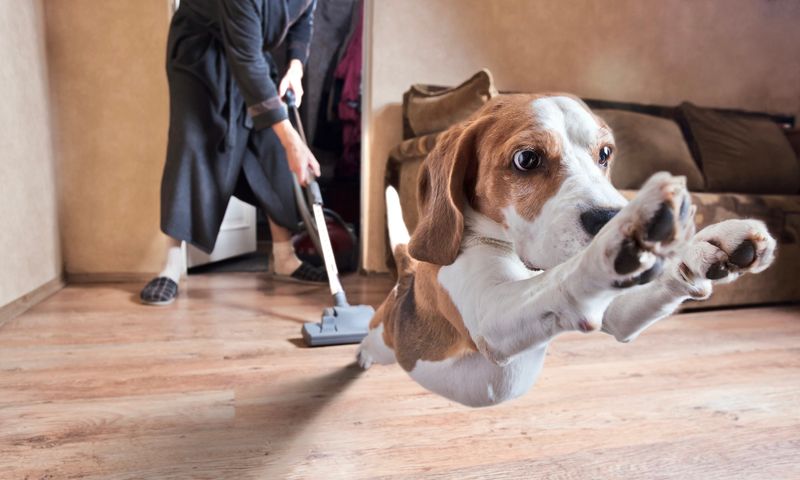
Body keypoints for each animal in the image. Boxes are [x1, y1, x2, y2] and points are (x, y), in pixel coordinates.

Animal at [360, 94, 780, 408]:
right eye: (526, 159)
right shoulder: (490, 314)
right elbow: (565, 276)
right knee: (370, 340)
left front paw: (706, 246)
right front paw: (622, 237)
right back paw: (361, 355)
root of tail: (406, 278)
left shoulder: (615, 313)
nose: (611, 215)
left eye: (605, 153)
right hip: (385, 337)